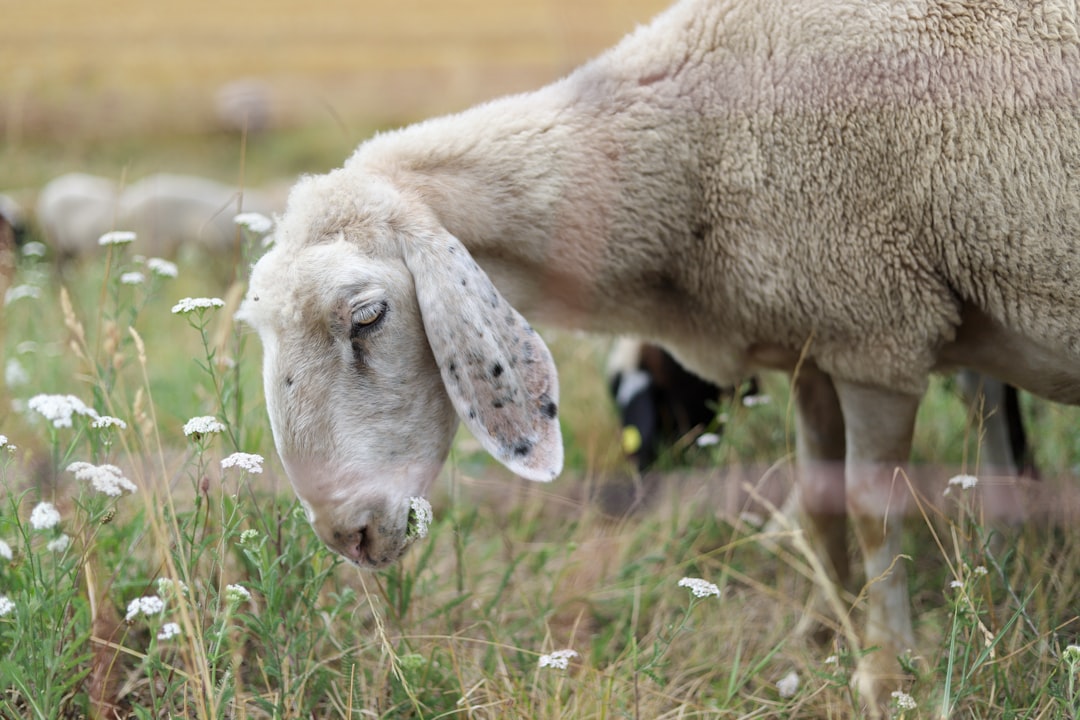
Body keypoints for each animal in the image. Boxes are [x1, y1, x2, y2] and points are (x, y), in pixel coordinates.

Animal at [240, 0, 1080, 708]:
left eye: (367, 317)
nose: (344, 534)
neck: (690, 149)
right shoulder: (817, 341)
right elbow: (820, 505)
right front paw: (818, 632)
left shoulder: (880, 331)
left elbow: (875, 514)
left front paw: (886, 671)